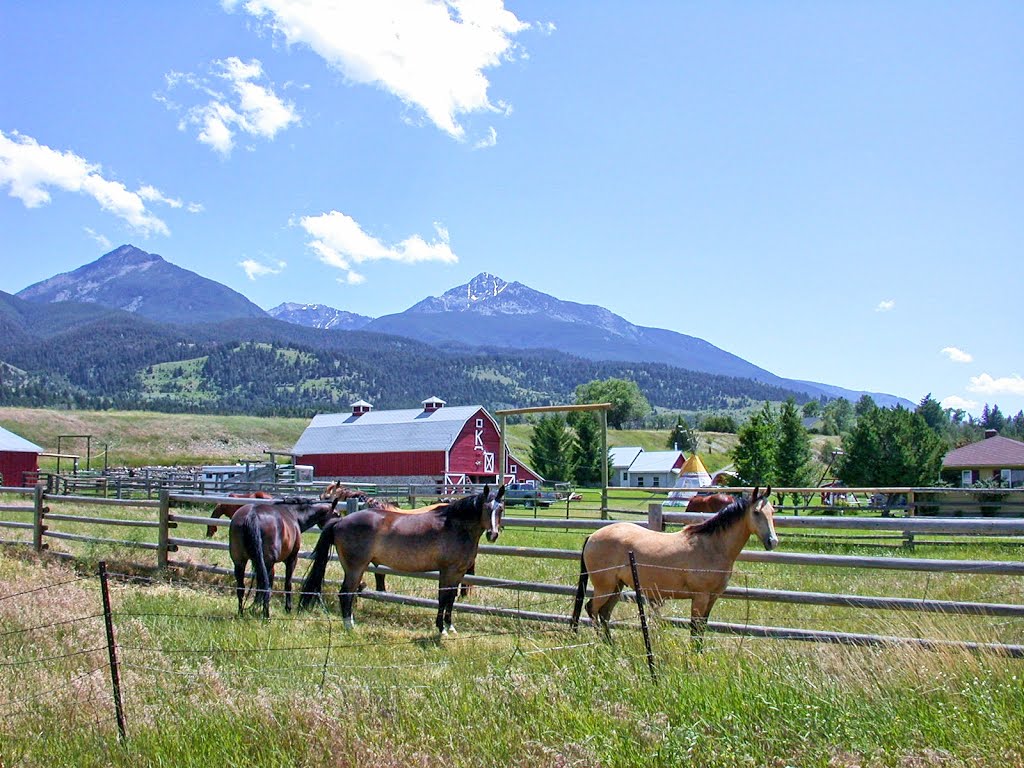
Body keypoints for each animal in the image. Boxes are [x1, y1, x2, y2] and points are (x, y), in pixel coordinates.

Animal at [296, 483, 503, 634]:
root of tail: (340, 521)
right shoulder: (447, 571)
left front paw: (450, 627)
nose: (493, 534)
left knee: (350, 593)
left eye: (500, 509)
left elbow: (451, 599)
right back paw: (350, 627)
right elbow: (443, 598)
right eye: (486, 508)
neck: (454, 525)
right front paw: (441, 629)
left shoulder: (458, 573)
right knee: (345, 593)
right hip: (355, 568)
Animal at [573, 489, 778, 647]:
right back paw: (604, 646)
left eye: (772, 512)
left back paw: (611, 645)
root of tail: (592, 537)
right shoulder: (700, 597)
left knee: (604, 613)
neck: (711, 546)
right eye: (756, 512)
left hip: (617, 587)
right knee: (592, 609)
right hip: (605, 587)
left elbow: (702, 627)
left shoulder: (712, 597)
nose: (772, 541)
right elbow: (695, 628)